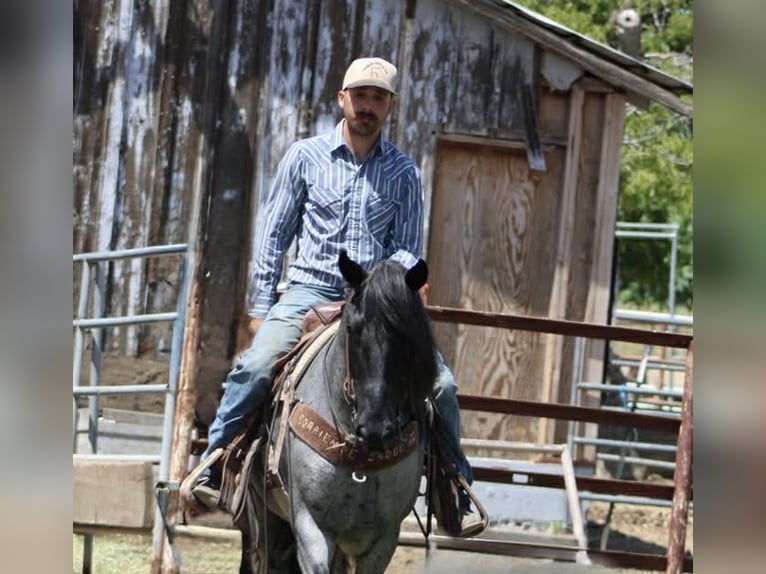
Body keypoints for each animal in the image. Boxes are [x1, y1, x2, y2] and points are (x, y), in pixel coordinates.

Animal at [237, 250, 438, 574]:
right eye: (353, 330)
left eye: (408, 337)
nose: (376, 429)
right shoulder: (310, 527)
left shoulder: (383, 539)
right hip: (259, 515)